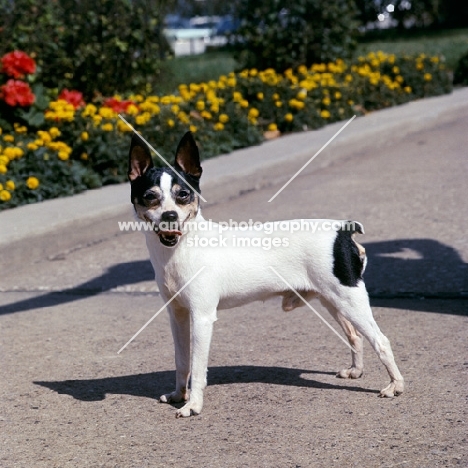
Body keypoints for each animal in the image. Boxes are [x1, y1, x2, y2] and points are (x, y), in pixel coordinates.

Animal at [127, 131, 402, 416]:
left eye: (183, 194)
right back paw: (357, 371)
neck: (181, 249)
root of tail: (343, 229)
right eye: (150, 196)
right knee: (354, 335)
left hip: (349, 300)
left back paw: (395, 386)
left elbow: (198, 367)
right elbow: (182, 361)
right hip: (333, 300)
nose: (169, 215)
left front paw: (193, 404)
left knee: (380, 340)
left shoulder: (201, 319)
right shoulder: (178, 317)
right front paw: (179, 394)